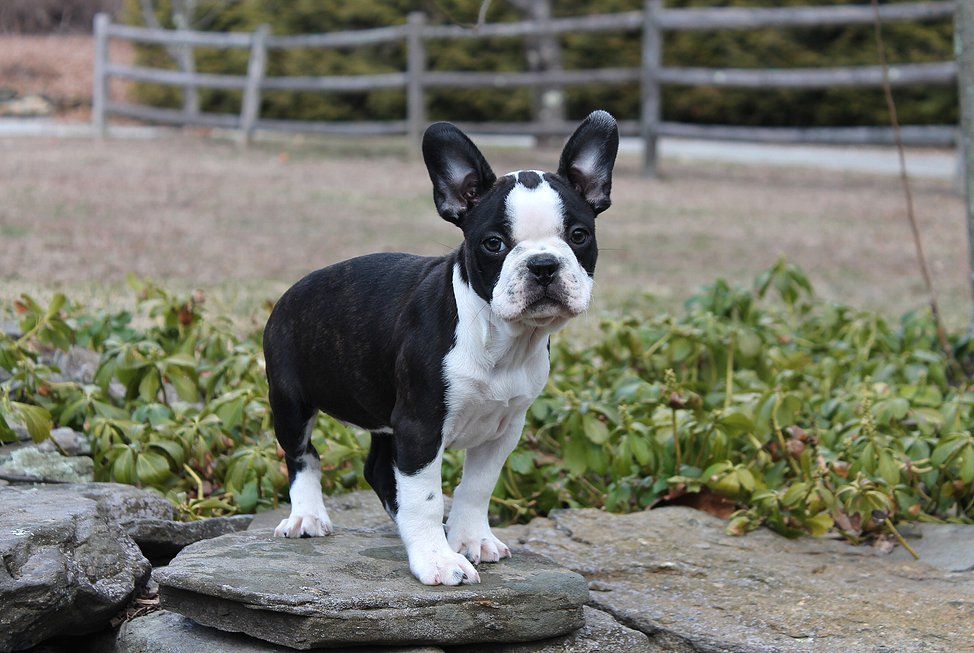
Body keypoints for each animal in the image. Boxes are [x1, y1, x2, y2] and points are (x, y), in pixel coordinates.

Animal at [264, 111, 620, 584]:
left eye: (579, 235)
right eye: (493, 243)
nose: (543, 264)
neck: (502, 340)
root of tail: (290, 292)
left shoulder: (503, 429)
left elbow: (476, 488)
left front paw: (470, 540)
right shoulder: (420, 426)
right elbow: (425, 498)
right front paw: (436, 558)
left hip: (385, 420)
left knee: (378, 469)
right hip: (290, 401)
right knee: (302, 455)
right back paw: (307, 516)